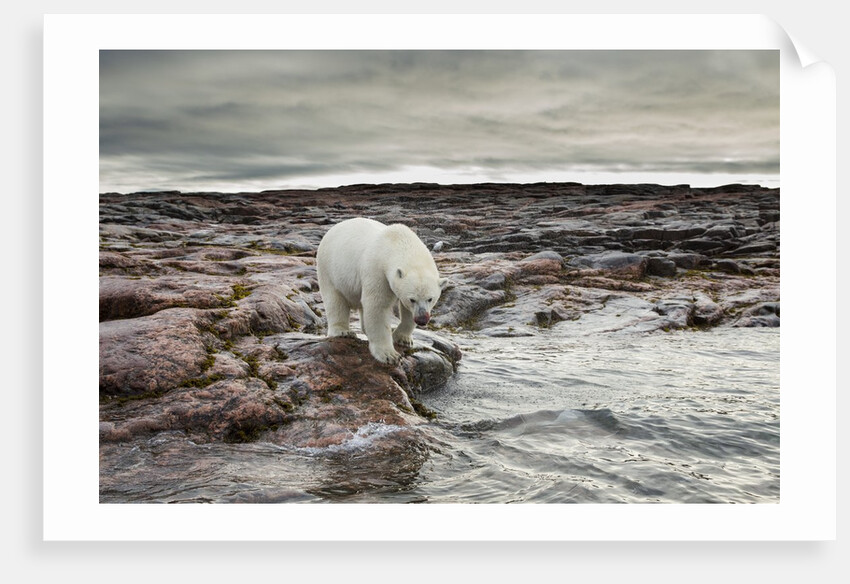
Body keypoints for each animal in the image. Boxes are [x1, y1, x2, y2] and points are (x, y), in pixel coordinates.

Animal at [316, 217, 445, 365]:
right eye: (412, 299)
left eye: (430, 299)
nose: (422, 319)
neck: (398, 242)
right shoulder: (377, 271)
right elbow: (377, 306)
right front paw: (389, 355)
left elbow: (405, 311)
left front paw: (403, 339)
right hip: (329, 269)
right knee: (335, 300)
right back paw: (343, 331)